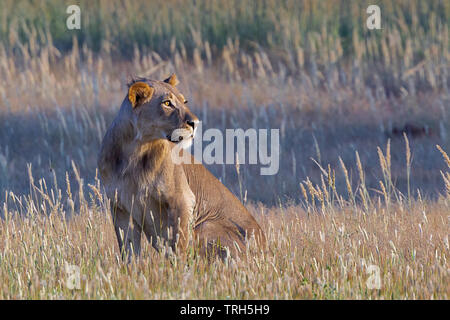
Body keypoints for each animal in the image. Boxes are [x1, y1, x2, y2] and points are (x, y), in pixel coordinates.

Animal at [98, 73, 266, 260]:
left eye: (184, 101)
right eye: (167, 103)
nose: (195, 123)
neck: (136, 150)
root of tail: (265, 250)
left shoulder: (182, 200)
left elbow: (179, 244)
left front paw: (178, 267)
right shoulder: (119, 207)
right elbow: (128, 249)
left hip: (205, 225)